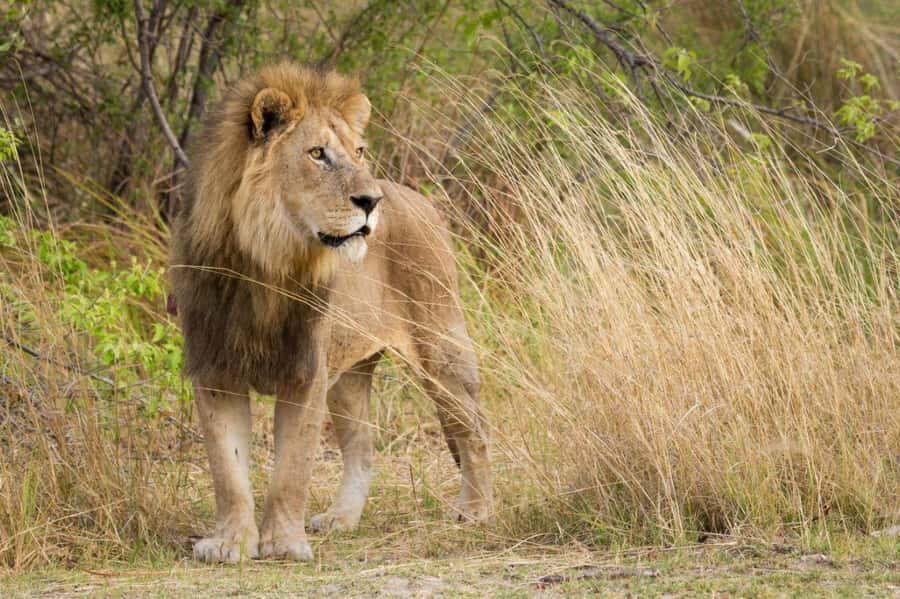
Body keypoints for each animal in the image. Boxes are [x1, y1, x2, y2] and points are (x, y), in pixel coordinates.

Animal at [170, 63, 492, 563]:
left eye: (358, 151)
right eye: (317, 153)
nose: (372, 202)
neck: (264, 265)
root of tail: (421, 200)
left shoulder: (307, 372)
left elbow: (292, 470)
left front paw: (283, 544)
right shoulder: (215, 369)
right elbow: (227, 470)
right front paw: (229, 543)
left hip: (441, 349)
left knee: (473, 429)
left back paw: (474, 510)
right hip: (349, 373)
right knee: (363, 449)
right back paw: (343, 519)